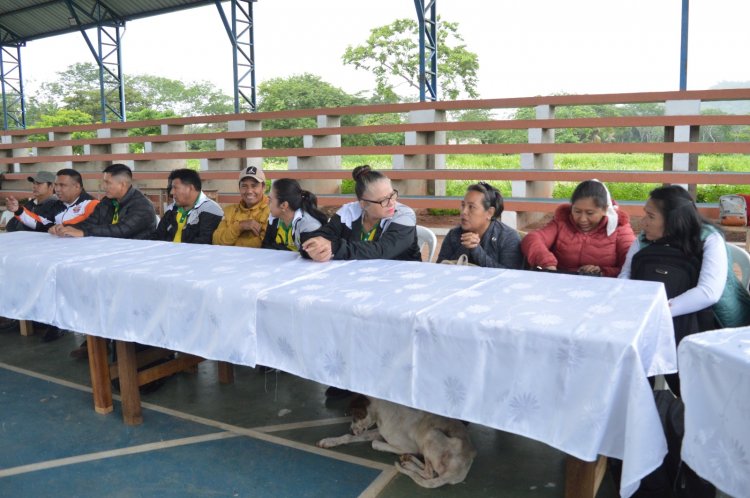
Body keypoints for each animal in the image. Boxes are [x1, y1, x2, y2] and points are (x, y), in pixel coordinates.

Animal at [318, 392, 476, 486]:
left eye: (356, 414)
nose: (351, 429)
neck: (381, 413)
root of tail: (459, 472)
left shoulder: (408, 446)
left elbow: (375, 443)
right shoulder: (378, 432)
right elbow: (349, 437)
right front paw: (330, 441)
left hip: (431, 435)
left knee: (429, 474)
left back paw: (410, 464)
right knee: (429, 470)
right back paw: (408, 460)